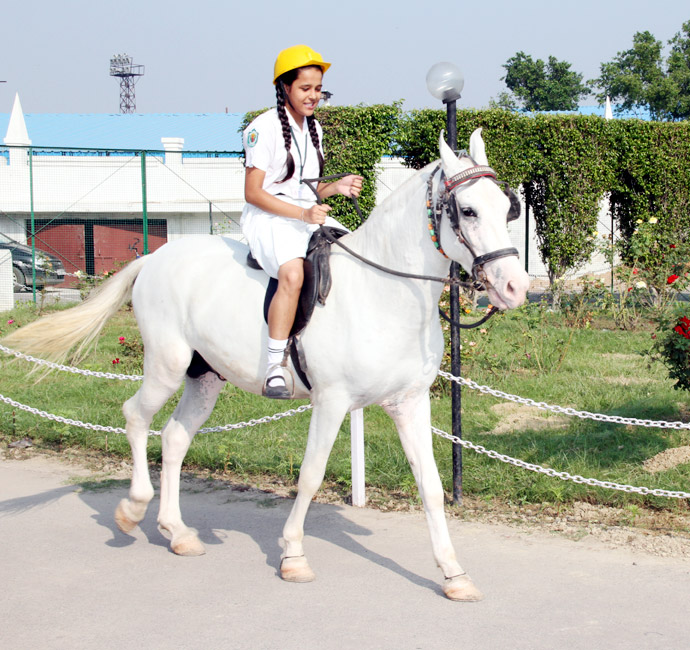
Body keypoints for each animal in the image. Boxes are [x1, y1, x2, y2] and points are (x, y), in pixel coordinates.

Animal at [5, 129, 529, 601]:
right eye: (467, 210)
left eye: (507, 209)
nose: (515, 288)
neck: (384, 290)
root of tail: (154, 257)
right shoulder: (332, 402)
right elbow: (311, 476)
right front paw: (293, 555)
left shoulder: (410, 403)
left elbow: (431, 485)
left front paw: (453, 574)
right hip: (166, 366)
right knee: (136, 417)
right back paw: (134, 509)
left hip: (204, 378)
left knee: (174, 438)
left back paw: (177, 532)